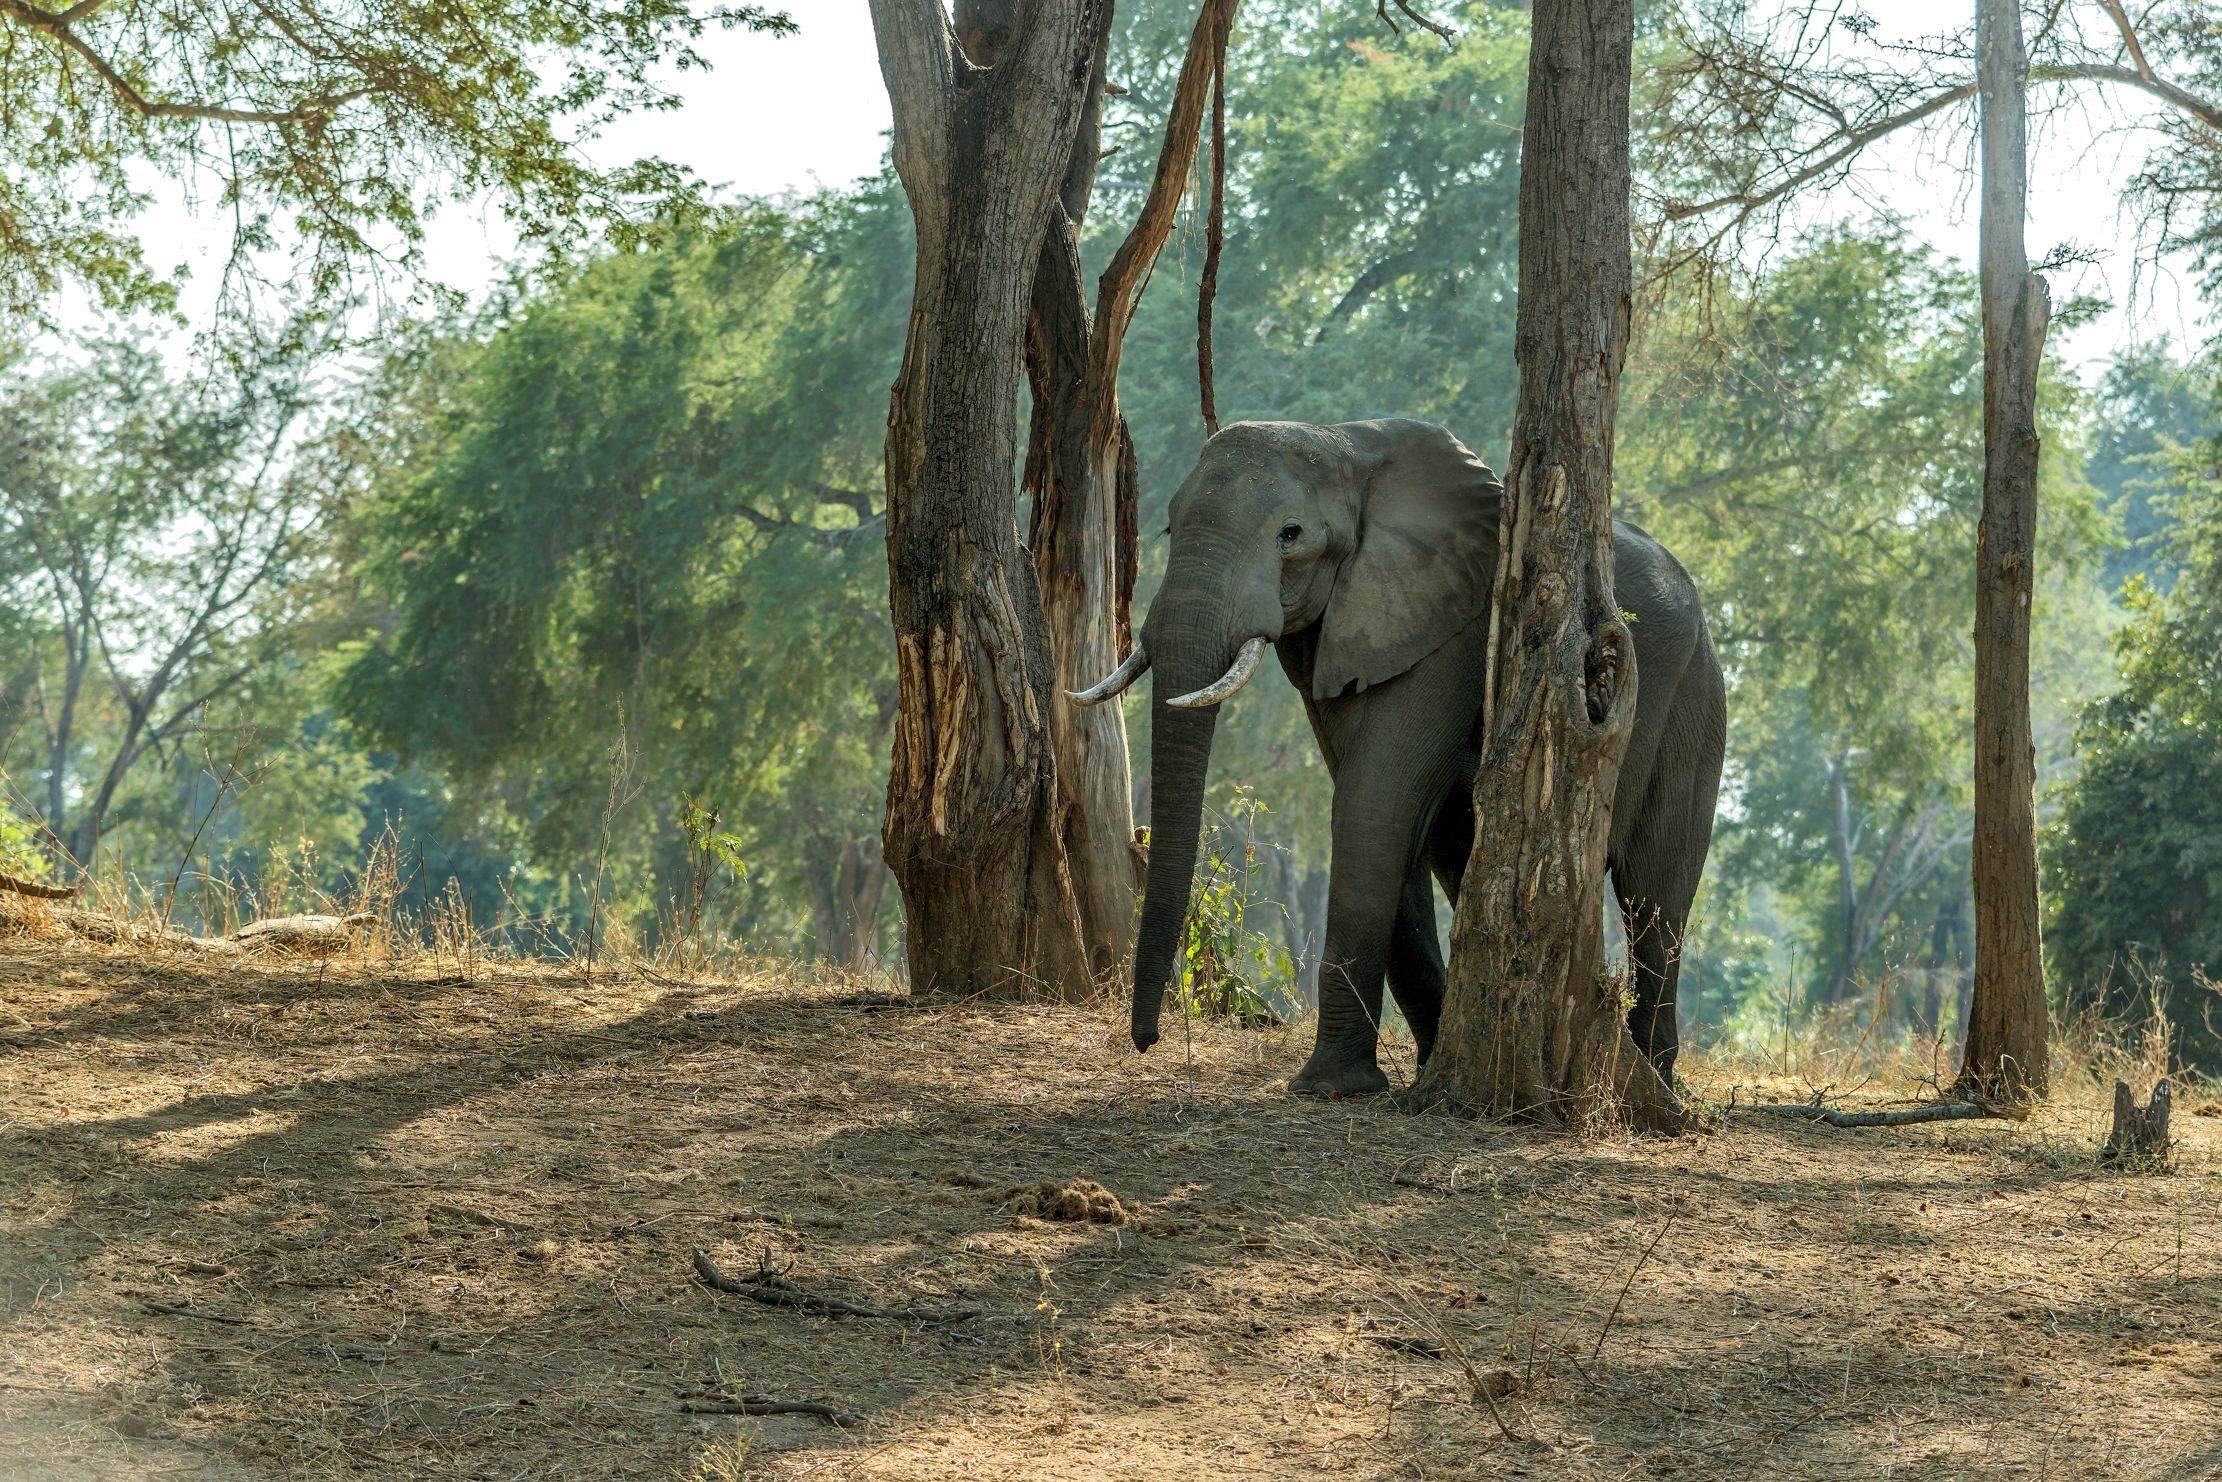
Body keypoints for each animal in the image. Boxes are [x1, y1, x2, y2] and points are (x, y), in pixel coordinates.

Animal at [1066, 417, 1724, 1102]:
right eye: (1169, 525)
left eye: (1290, 534)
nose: (1148, 1042)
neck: (1345, 447)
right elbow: (1391, 820)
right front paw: (1414, 1075)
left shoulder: (1451, 629)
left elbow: (1373, 800)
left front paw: (1331, 1089)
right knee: (1465, 866)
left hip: (1694, 699)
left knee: (1656, 894)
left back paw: (1655, 1081)